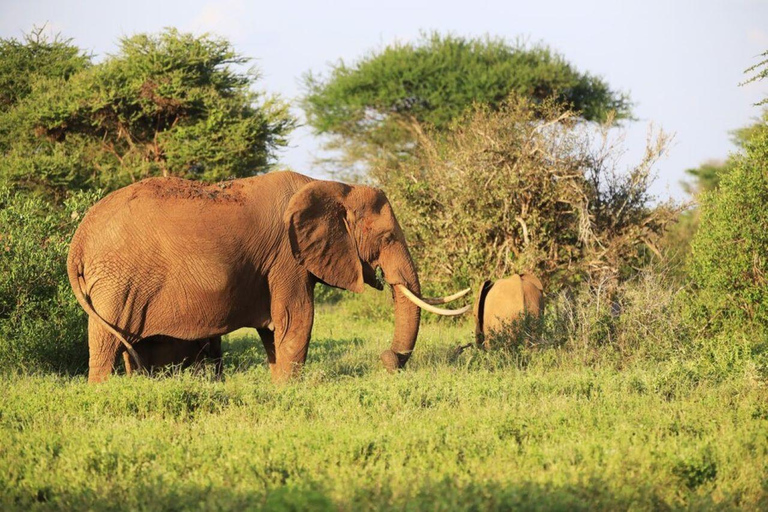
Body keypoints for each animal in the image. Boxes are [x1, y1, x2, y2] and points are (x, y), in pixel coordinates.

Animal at [67, 170, 468, 382]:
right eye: (386, 239)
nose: (388, 360)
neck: (333, 186)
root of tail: (79, 239)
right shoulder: (286, 257)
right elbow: (296, 319)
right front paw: (291, 390)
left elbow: (275, 328)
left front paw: (278, 386)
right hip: (117, 279)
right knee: (107, 341)